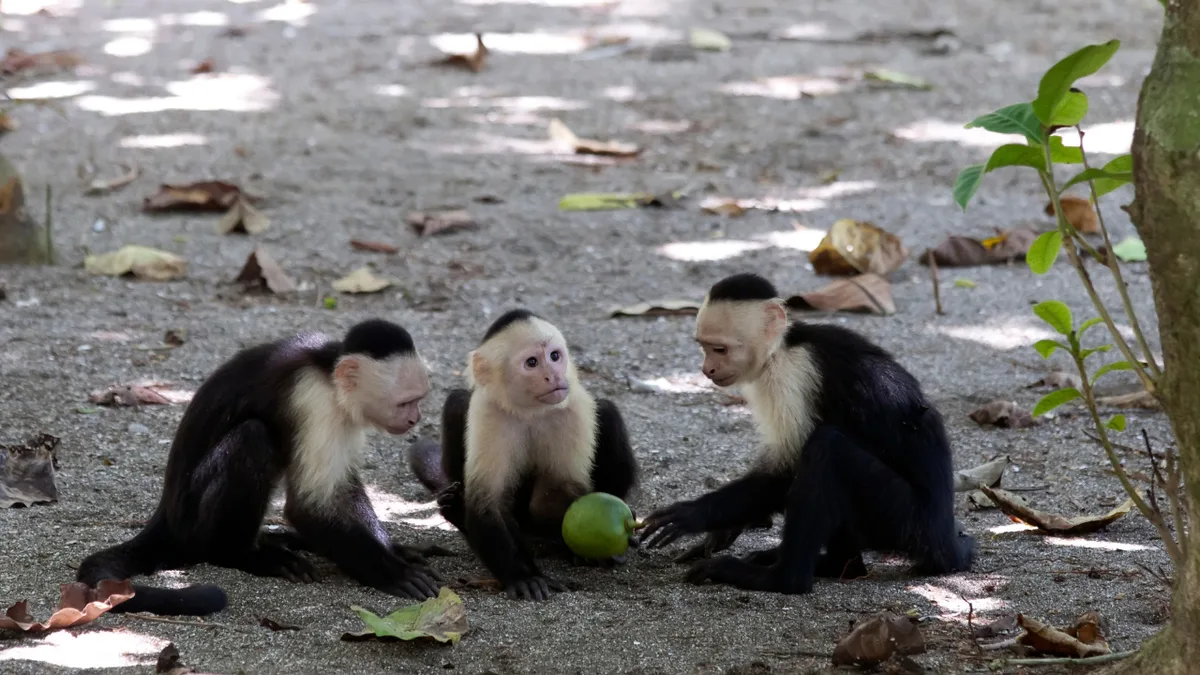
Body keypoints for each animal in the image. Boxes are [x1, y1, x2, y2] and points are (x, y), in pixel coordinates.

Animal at [77, 319, 443, 615]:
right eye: (406, 402)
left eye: (418, 400)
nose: (416, 418)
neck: (326, 371)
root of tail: (165, 516)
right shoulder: (314, 401)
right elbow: (310, 506)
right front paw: (393, 572)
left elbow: (340, 491)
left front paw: (394, 550)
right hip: (191, 521)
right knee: (252, 436)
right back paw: (242, 555)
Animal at [406, 309, 638, 601]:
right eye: (532, 363)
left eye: (554, 356)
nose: (553, 376)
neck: (530, 411)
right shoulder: (489, 411)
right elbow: (489, 502)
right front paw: (523, 576)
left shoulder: (571, 411)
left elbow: (554, 496)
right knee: (457, 402)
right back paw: (457, 512)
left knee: (607, 412)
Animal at [639, 273, 974, 594]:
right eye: (704, 347)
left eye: (719, 349)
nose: (706, 369)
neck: (783, 347)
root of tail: (946, 543)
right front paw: (723, 530)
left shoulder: (792, 375)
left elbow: (785, 471)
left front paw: (693, 515)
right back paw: (838, 566)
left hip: (907, 521)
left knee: (827, 447)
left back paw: (782, 578)